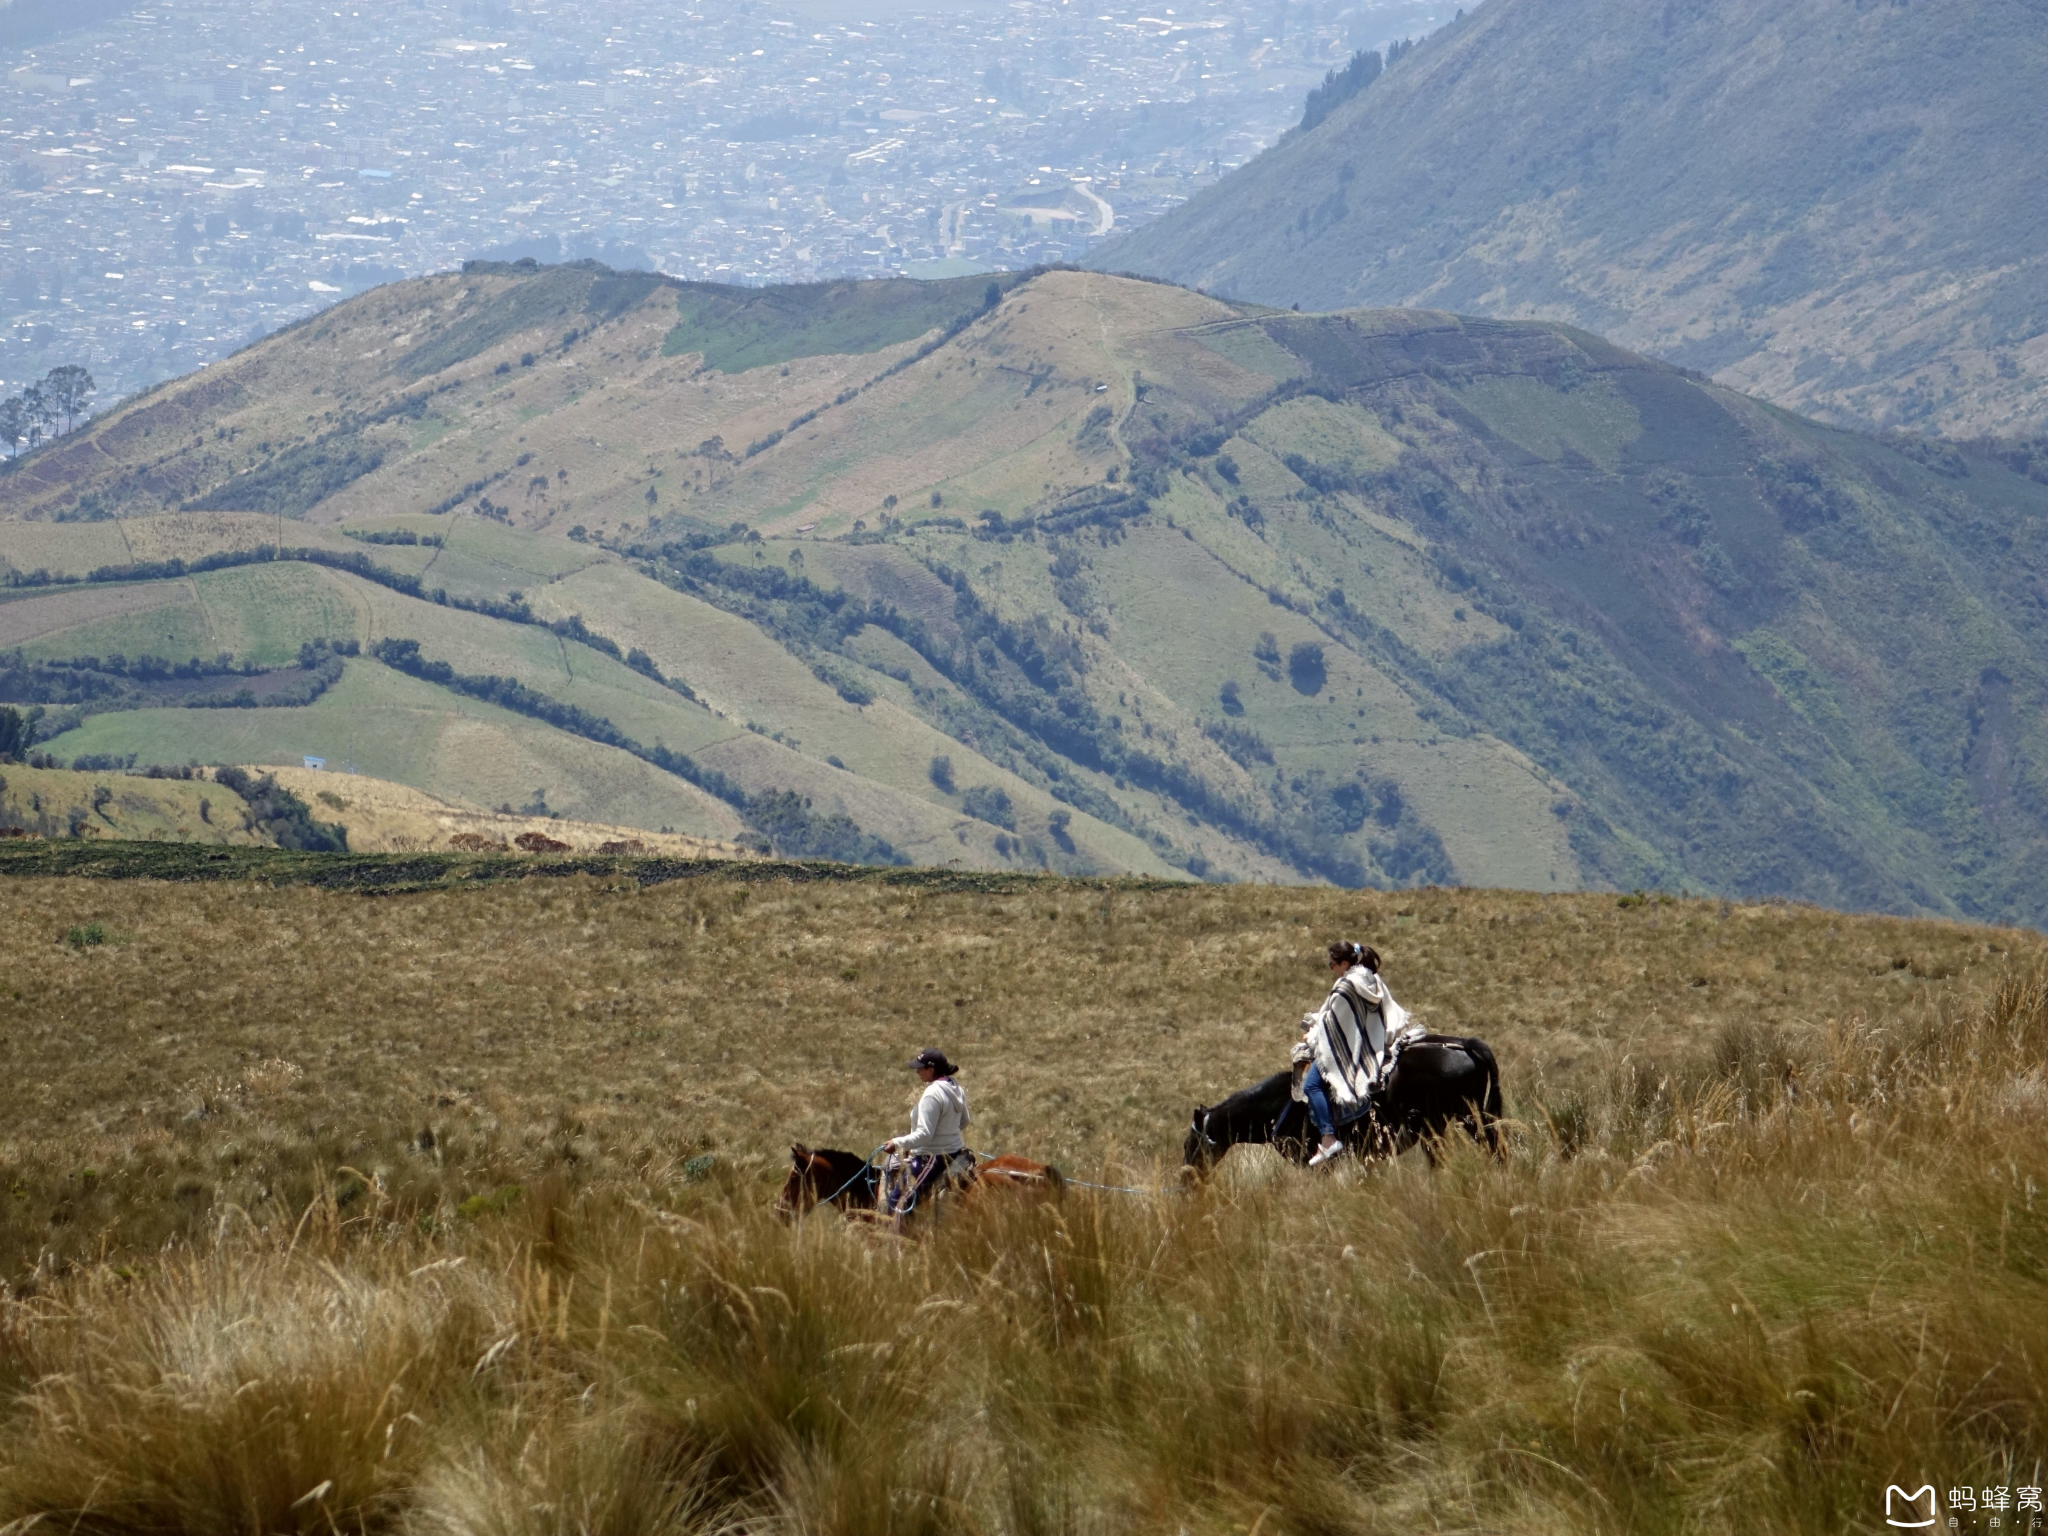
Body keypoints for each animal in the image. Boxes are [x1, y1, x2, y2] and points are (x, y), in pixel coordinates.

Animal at [1187, 1036, 1507, 1179]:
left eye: (1189, 1144)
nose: (1185, 1183)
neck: (1278, 1107)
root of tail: (1463, 1044)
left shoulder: (1318, 1165)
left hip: (1442, 1126)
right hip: (1470, 1119)